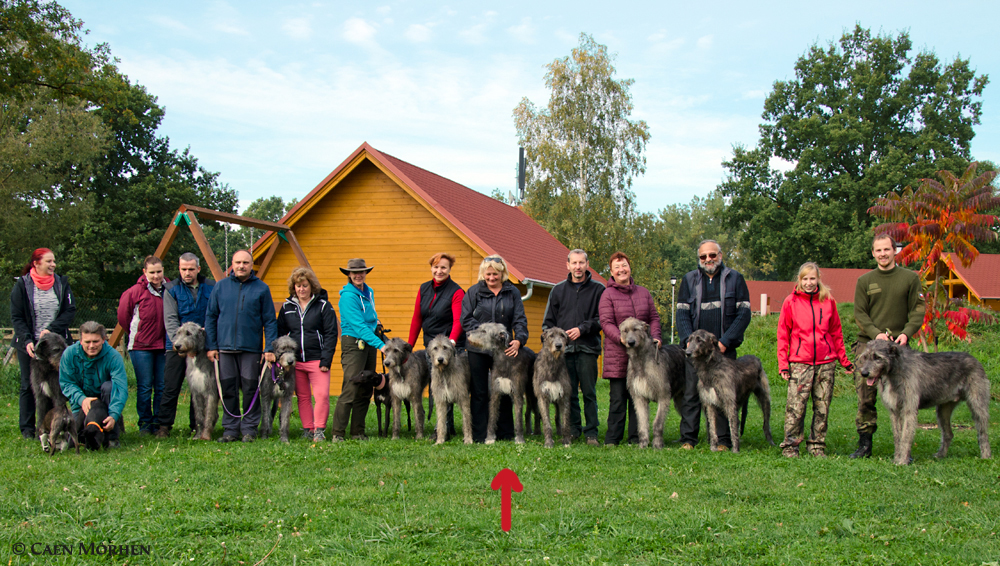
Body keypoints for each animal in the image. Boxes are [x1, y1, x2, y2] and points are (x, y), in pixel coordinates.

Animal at [616, 318, 688, 450]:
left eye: (636, 329)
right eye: (625, 331)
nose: (631, 342)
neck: (640, 359)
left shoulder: (663, 396)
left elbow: (658, 422)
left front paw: (657, 444)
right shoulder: (639, 398)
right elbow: (642, 423)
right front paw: (643, 444)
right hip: (680, 400)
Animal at [856, 342, 988, 466]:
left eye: (877, 357)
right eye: (865, 357)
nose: (864, 373)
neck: (896, 369)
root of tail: (974, 359)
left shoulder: (909, 409)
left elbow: (905, 437)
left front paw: (902, 462)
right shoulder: (894, 411)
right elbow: (897, 437)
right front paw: (896, 459)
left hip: (977, 404)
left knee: (982, 432)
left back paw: (986, 456)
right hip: (943, 409)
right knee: (948, 434)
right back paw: (941, 455)